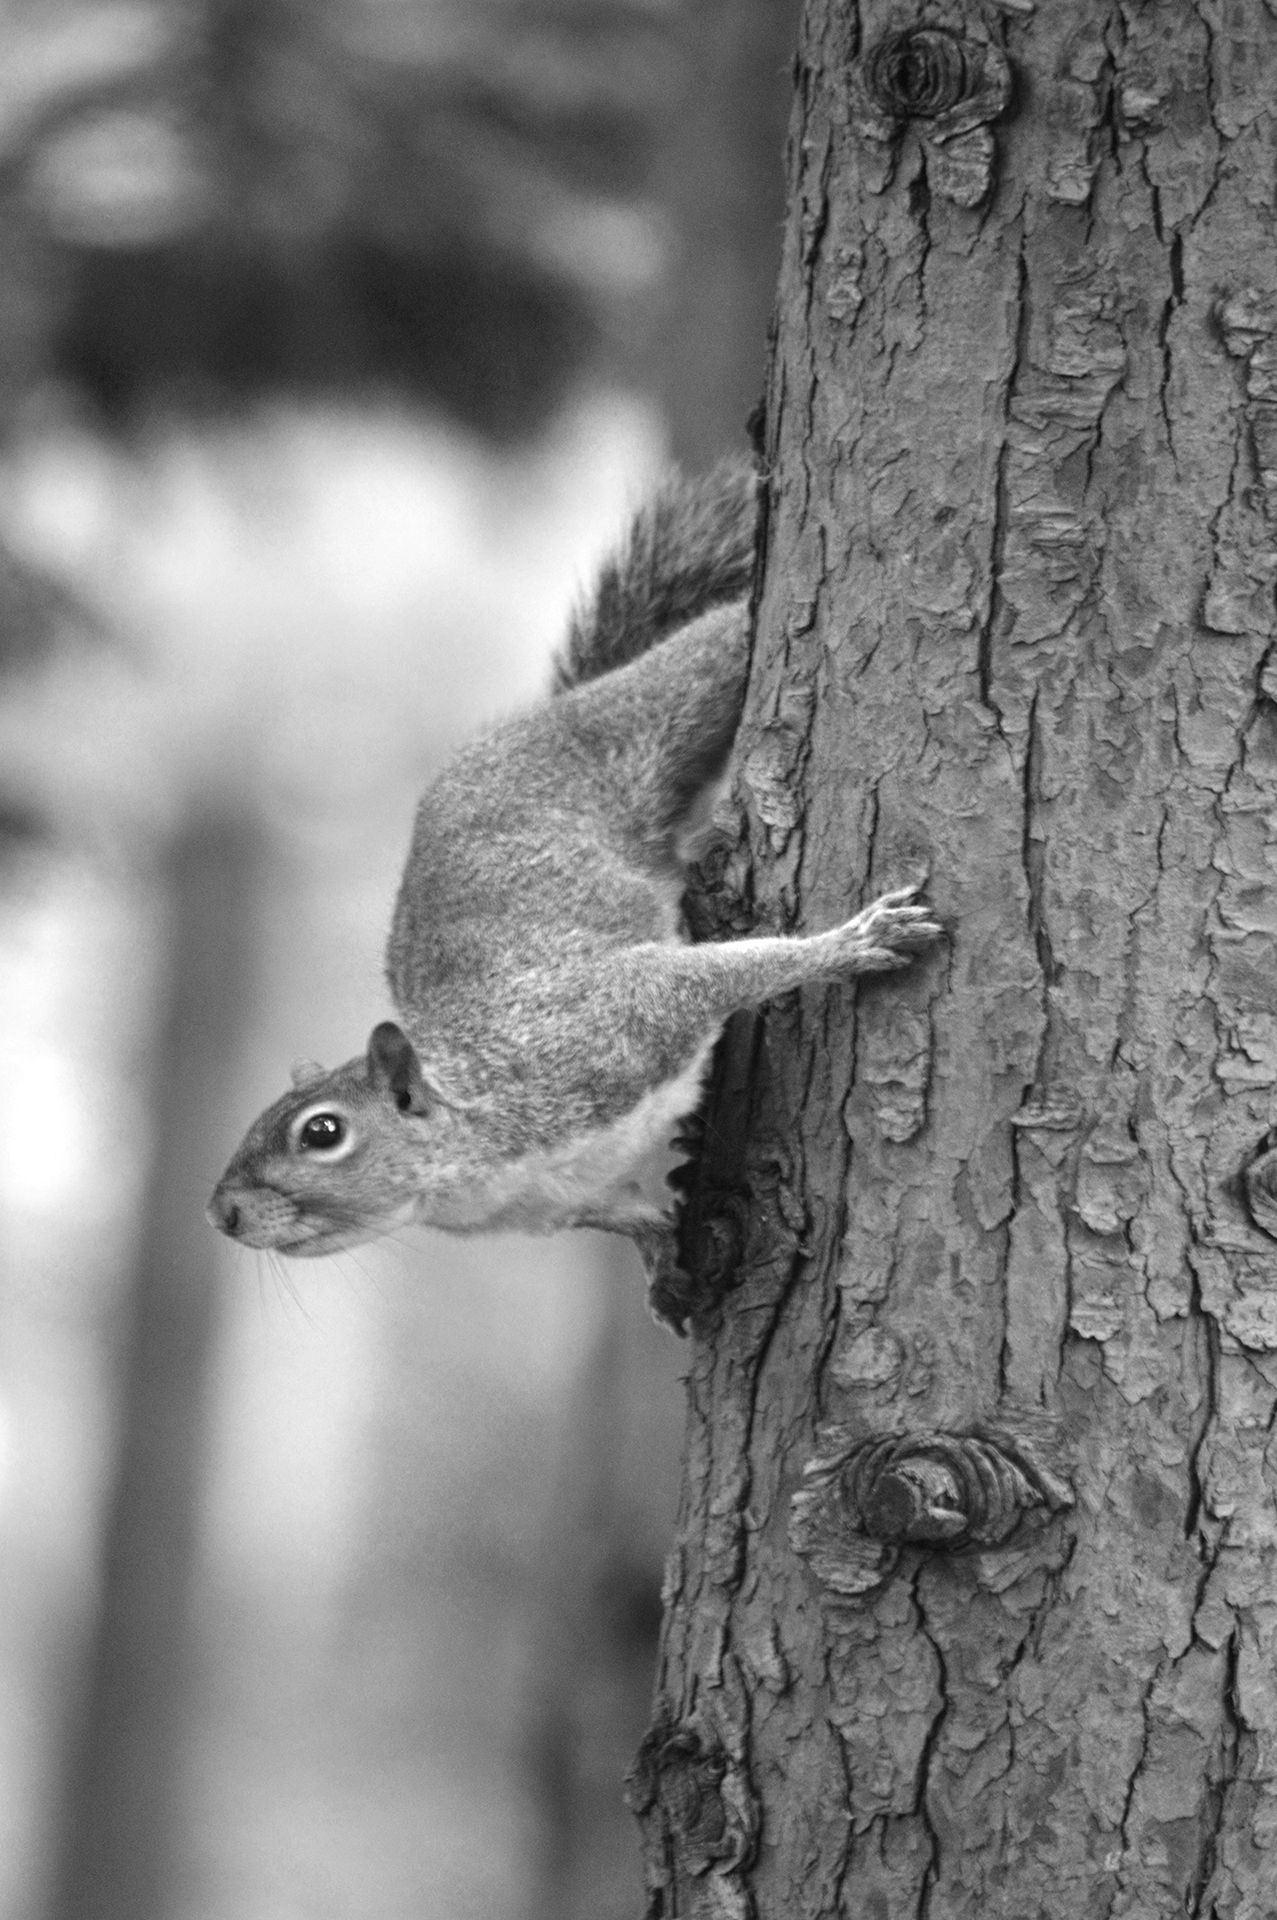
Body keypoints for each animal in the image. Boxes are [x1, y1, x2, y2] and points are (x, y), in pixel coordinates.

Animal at [207, 462, 942, 1329]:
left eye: (321, 1132)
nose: (221, 1213)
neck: (475, 1150)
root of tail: (541, 716)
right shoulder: (565, 1197)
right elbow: (627, 1217)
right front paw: (662, 1268)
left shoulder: (606, 1025)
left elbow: (729, 972)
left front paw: (852, 942)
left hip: (654, 712)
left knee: (711, 648)